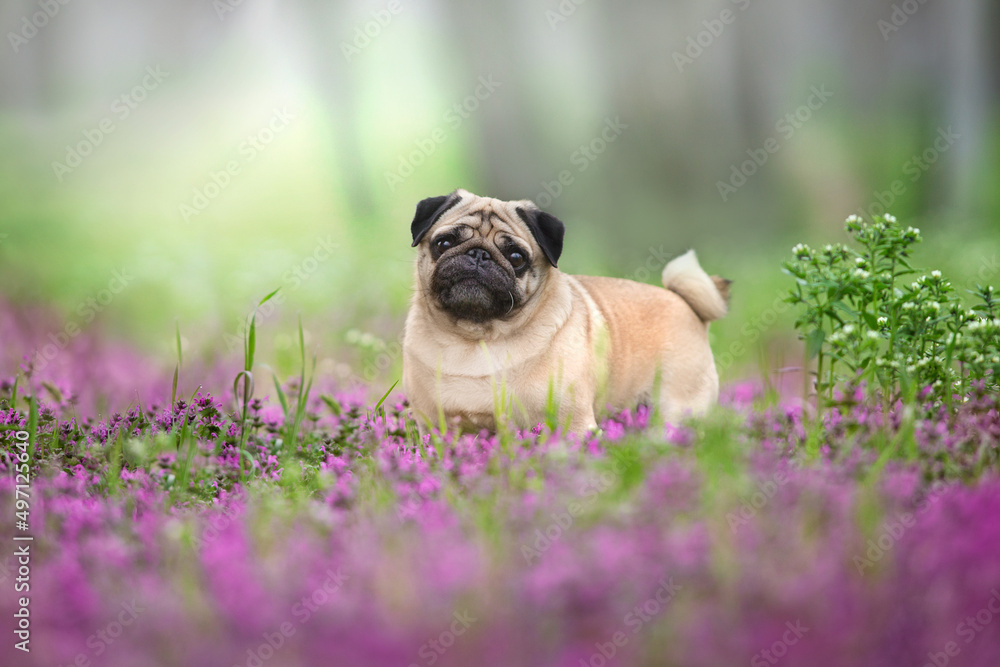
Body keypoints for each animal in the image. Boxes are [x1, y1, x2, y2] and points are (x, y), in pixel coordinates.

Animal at [402, 190, 732, 436]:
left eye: (516, 257)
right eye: (444, 243)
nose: (478, 254)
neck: (476, 336)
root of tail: (686, 305)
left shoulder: (572, 423)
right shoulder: (435, 426)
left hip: (678, 405)